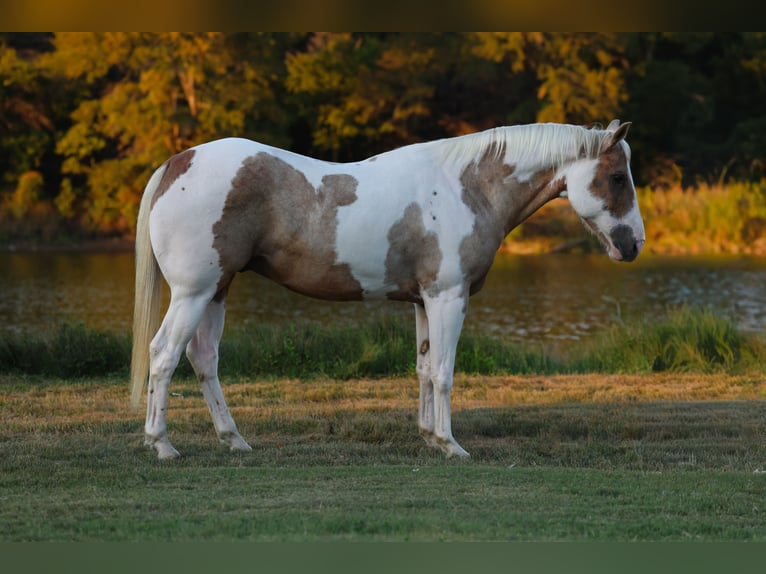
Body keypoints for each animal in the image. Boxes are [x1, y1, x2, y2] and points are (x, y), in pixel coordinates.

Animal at [130, 119, 645, 460]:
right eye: (617, 177)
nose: (634, 244)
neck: (467, 189)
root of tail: (178, 162)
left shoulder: (423, 301)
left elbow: (423, 369)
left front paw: (429, 437)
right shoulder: (448, 298)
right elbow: (444, 372)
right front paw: (451, 445)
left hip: (217, 290)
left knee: (203, 359)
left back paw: (233, 439)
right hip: (193, 293)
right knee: (164, 354)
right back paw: (163, 445)